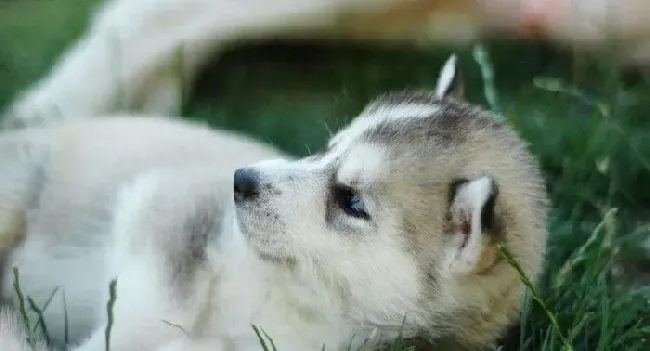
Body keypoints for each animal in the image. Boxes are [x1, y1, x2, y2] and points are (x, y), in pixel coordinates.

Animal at [0, 56, 548, 350]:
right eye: (328, 148)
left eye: (351, 201)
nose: (240, 179)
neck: (296, 299)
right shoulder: (174, 205)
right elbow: (154, 304)